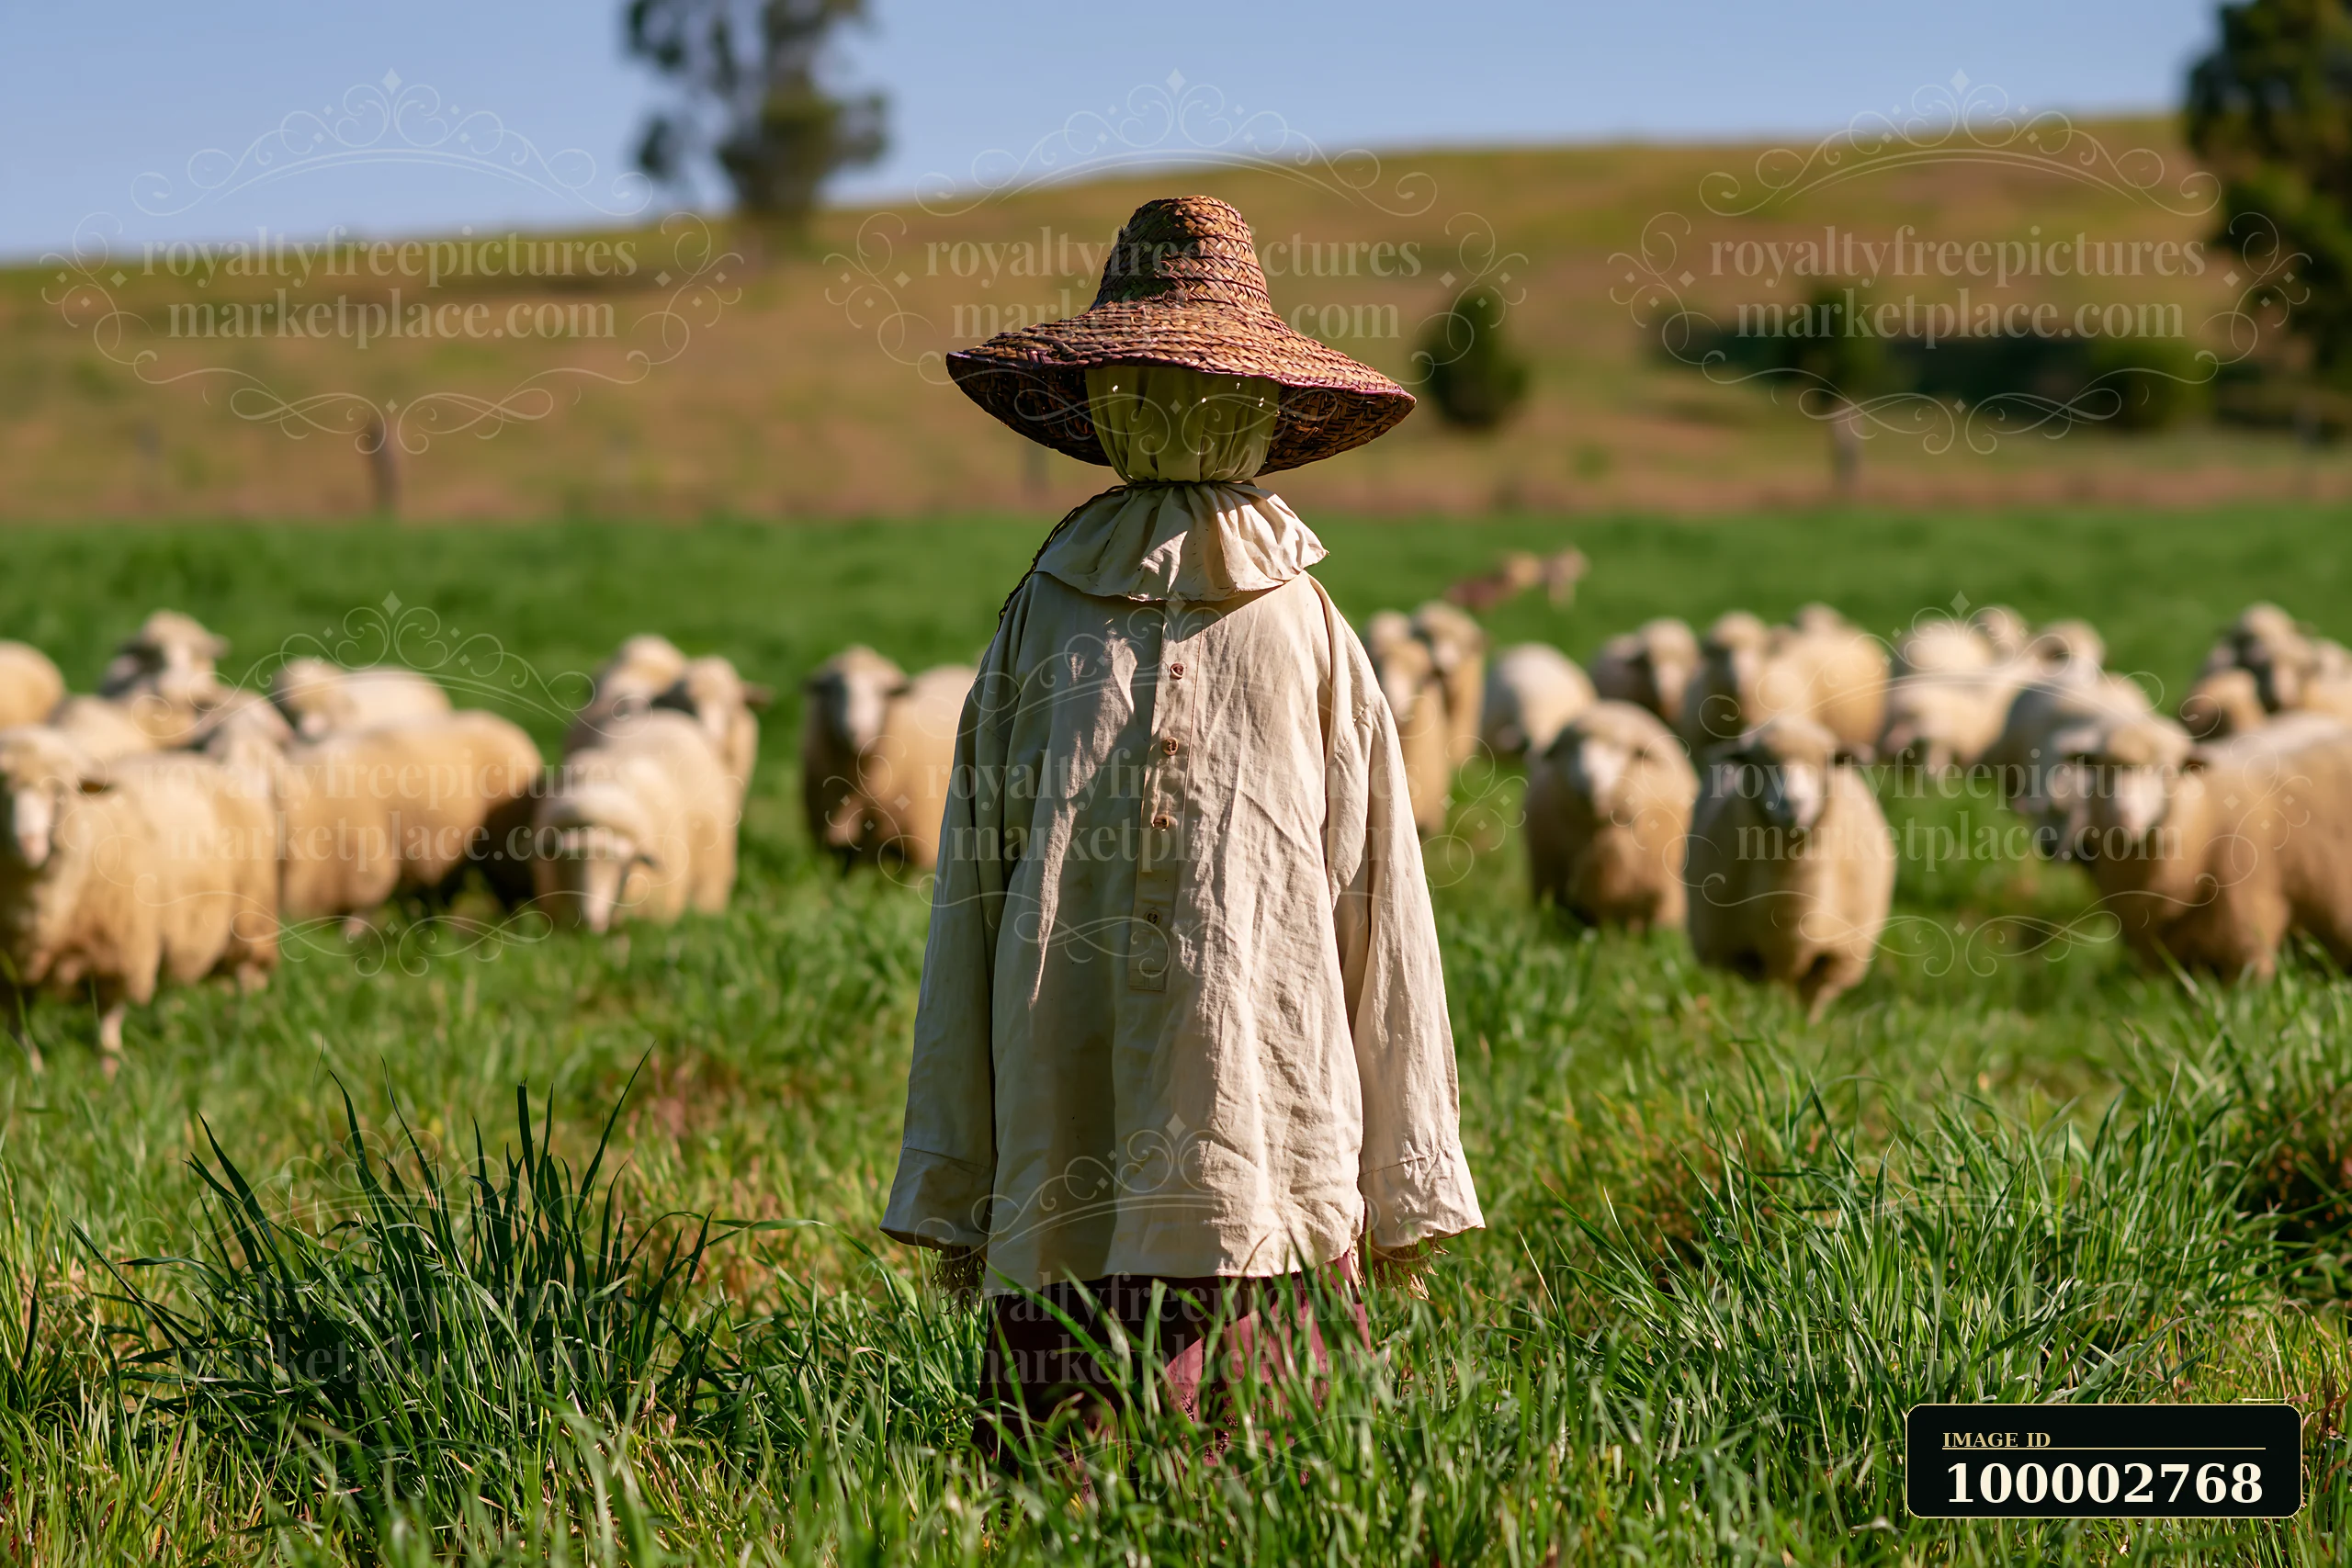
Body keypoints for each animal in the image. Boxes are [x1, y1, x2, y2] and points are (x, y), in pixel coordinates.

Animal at [0, 726, 276, 1068]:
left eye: (60, 790)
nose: (27, 843)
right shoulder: (9, 974)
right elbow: (18, 1027)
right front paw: (31, 1068)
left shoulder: (123, 955)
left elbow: (108, 1022)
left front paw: (108, 1068)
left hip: (251, 919)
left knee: (247, 979)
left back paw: (241, 1027)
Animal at [1683, 715, 1895, 1018]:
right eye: (1758, 762)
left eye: (1826, 762)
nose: (1793, 804)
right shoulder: (1725, 950)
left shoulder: (1838, 956)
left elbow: (1813, 997)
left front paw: (1800, 1025)